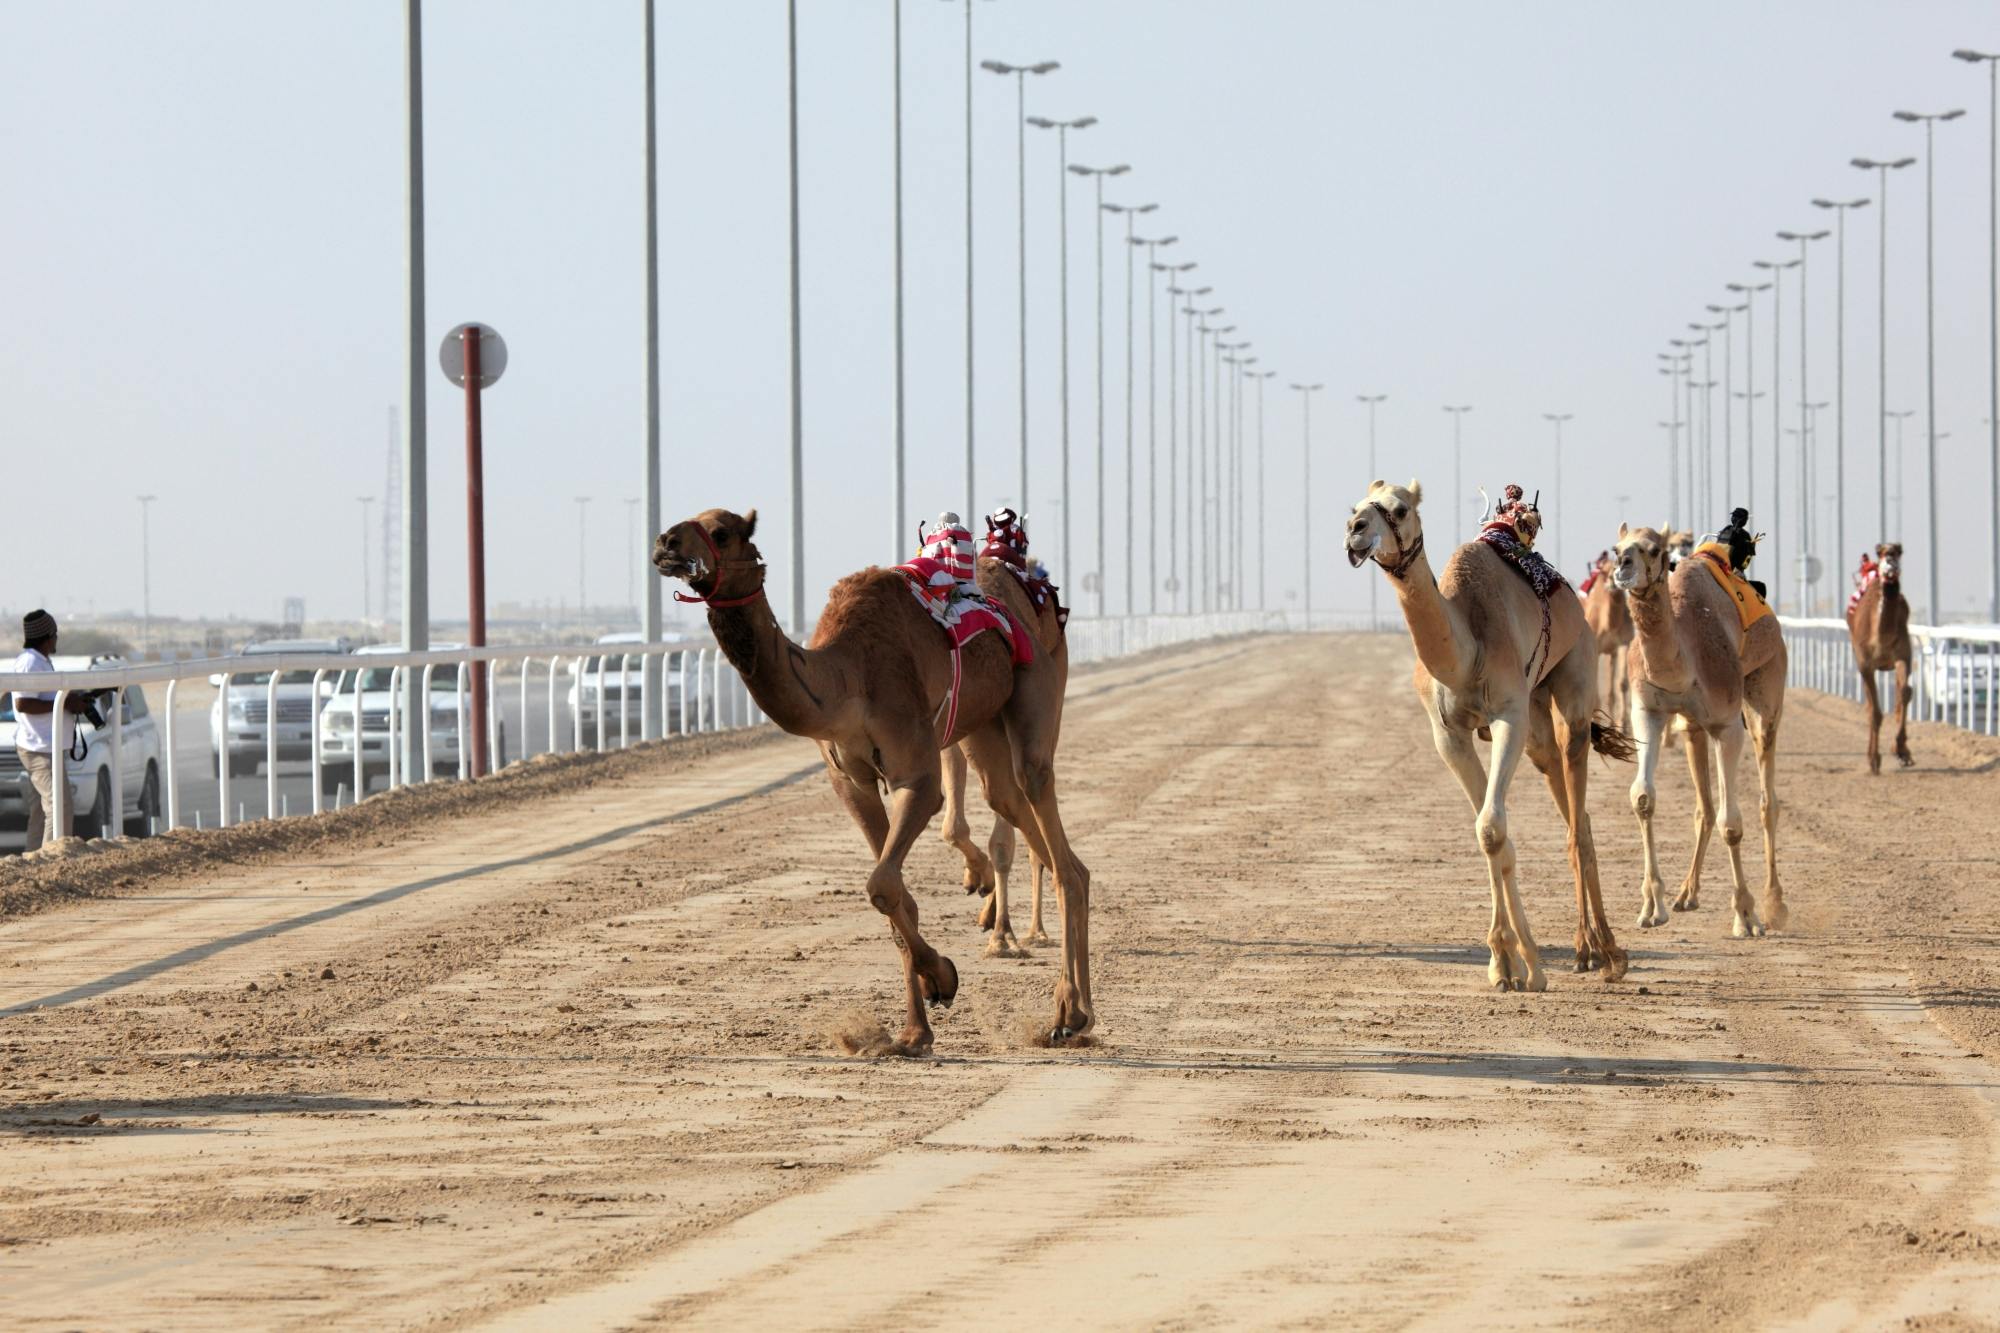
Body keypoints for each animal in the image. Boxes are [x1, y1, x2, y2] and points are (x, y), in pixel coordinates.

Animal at [653, 507, 1092, 1051]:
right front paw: (917, 1025)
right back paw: (1058, 990)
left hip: (1041, 680)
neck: (844, 676)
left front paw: (942, 978)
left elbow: (882, 884)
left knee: (1045, 810)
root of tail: (1035, 589)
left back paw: (1071, 1011)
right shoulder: (851, 782)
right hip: (984, 725)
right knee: (1026, 821)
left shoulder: (916, 774)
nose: (665, 543)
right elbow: (896, 893)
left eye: (721, 531)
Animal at [1581, 553, 1634, 724]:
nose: (1612, 580)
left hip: (1612, 652)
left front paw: (1622, 723)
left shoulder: (1624, 643)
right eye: (1605, 570)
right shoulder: (1596, 647)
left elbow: (1622, 684)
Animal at [1611, 525, 1787, 937]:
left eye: (1652, 549)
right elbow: (1643, 797)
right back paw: (1686, 894)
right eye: (1616, 547)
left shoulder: (1726, 724)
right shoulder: (1648, 712)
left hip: (1768, 686)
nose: (1623, 566)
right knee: (1704, 806)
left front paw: (1746, 916)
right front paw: (1652, 907)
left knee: (1766, 799)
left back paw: (1775, 904)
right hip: (1692, 728)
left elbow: (1732, 823)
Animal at [1847, 543, 1914, 774]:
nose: (1890, 560)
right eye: (1881, 552)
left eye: (1899, 551)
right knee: (1870, 707)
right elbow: (1875, 712)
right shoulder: (1865, 664)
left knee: (1900, 695)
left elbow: (1904, 694)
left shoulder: (1903, 657)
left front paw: (1902, 751)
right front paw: (1874, 760)